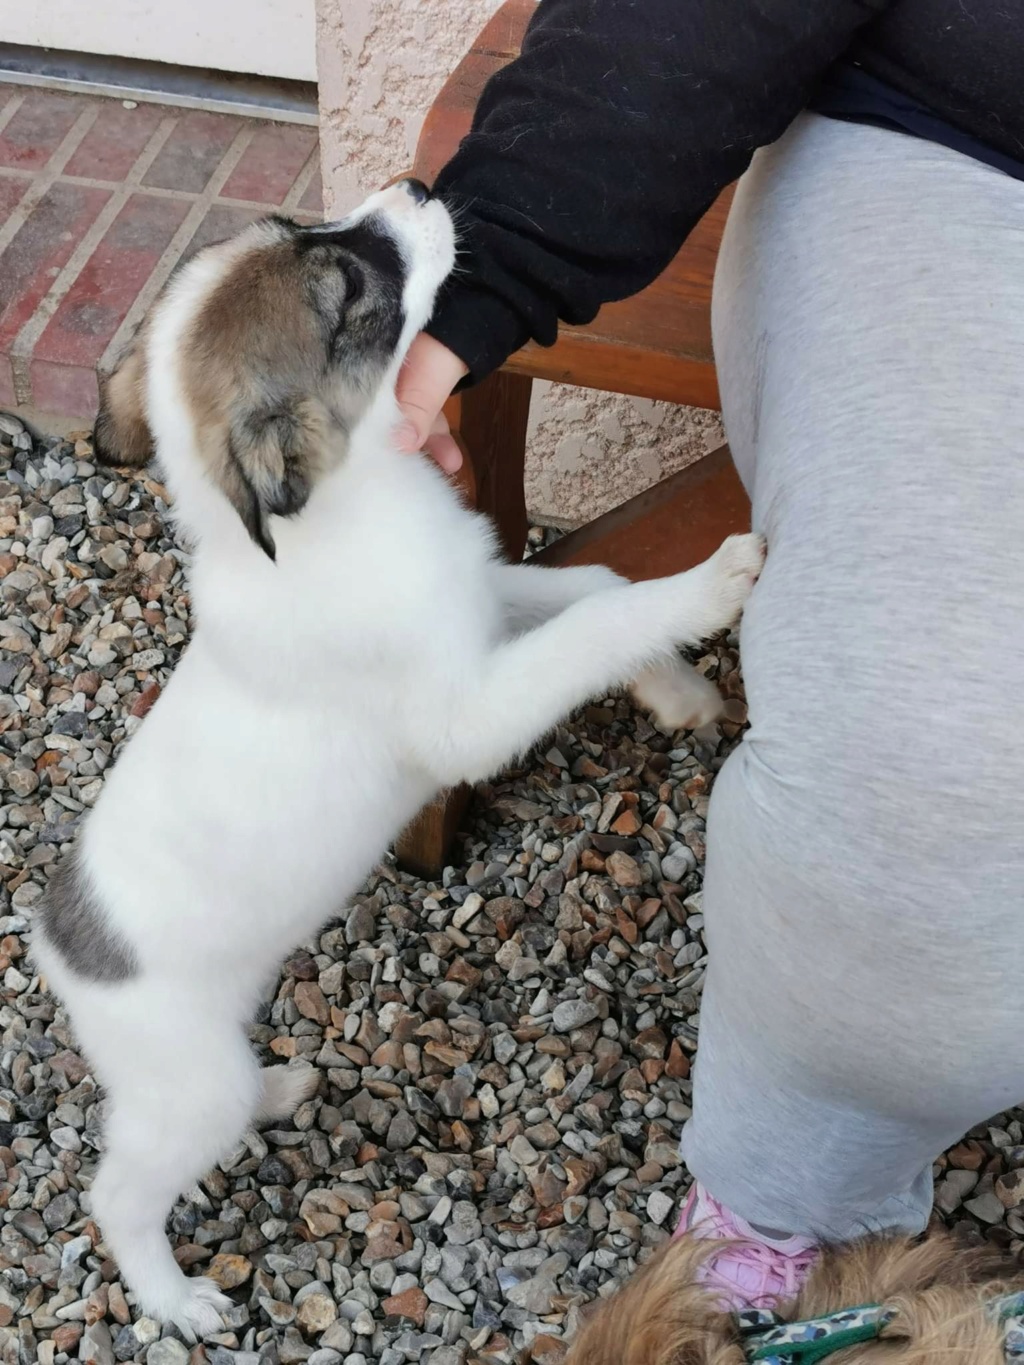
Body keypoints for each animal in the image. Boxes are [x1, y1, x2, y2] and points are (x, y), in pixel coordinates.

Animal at [32, 181, 764, 1332]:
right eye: (350, 291)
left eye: (298, 229)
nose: (418, 190)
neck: (350, 508)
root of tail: (58, 942)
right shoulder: (472, 708)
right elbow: (600, 621)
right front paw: (712, 587)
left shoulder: (486, 602)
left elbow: (595, 590)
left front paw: (679, 691)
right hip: (182, 1088)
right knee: (119, 1195)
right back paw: (177, 1299)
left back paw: (278, 1089)